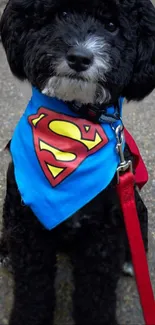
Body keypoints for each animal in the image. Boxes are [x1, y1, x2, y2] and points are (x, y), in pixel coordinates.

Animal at [0, 0, 155, 324]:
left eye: (112, 26)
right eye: (62, 14)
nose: (80, 58)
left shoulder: (103, 233)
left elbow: (95, 291)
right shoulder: (28, 227)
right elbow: (32, 287)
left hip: (133, 202)